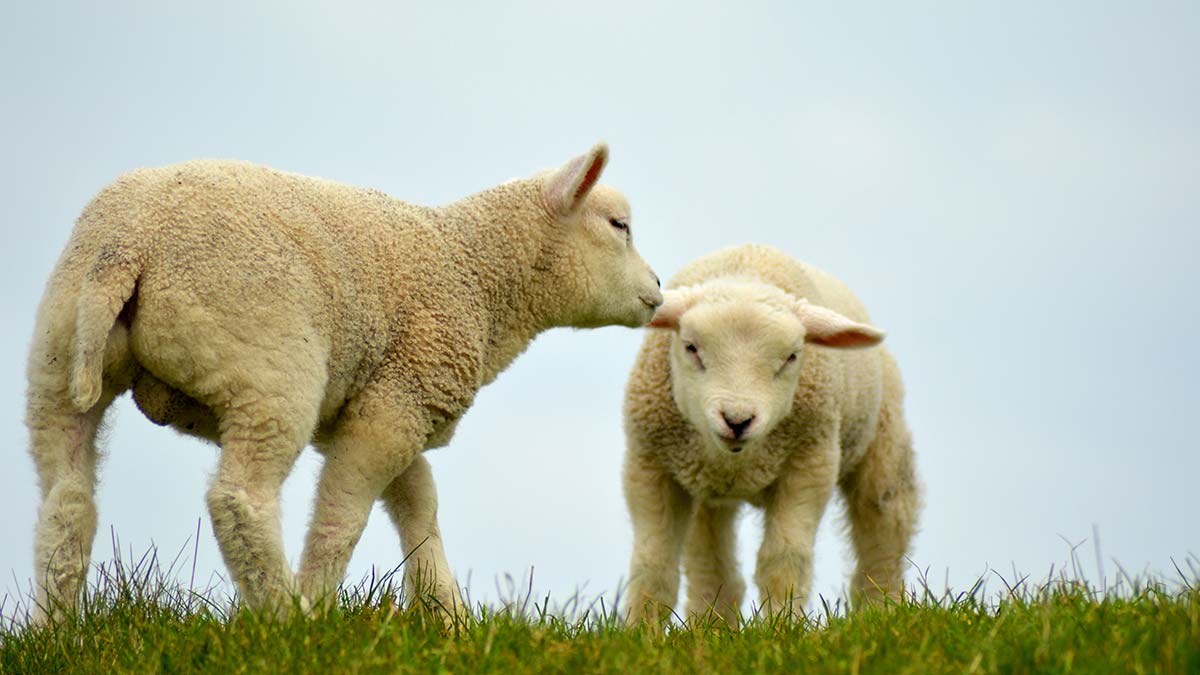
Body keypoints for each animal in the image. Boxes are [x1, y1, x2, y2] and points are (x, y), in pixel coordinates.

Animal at [25, 143, 663, 621]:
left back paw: (58, 631)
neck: (474, 273)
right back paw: (285, 619)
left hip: (57, 352)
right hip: (271, 367)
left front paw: (448, 616)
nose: (658, 289)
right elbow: (342, 515)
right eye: (619, 226)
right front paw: (319, 605)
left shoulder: (394, 400)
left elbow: (419, 505)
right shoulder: (399, 402)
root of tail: (132, 242)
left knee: (66, 502)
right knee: (240, 500)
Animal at [621, 244, 919, 624]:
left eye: (792, 356)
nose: (737, 420)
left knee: (884, 525)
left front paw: (783, 624)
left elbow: (783, 557)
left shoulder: (809, 463)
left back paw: (882, 611)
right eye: (691, 347)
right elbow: (653, 563)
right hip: (705, 487)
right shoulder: (649, 465)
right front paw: (641, 629)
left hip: (882, 442)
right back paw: (710, 625)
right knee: (710, 556)